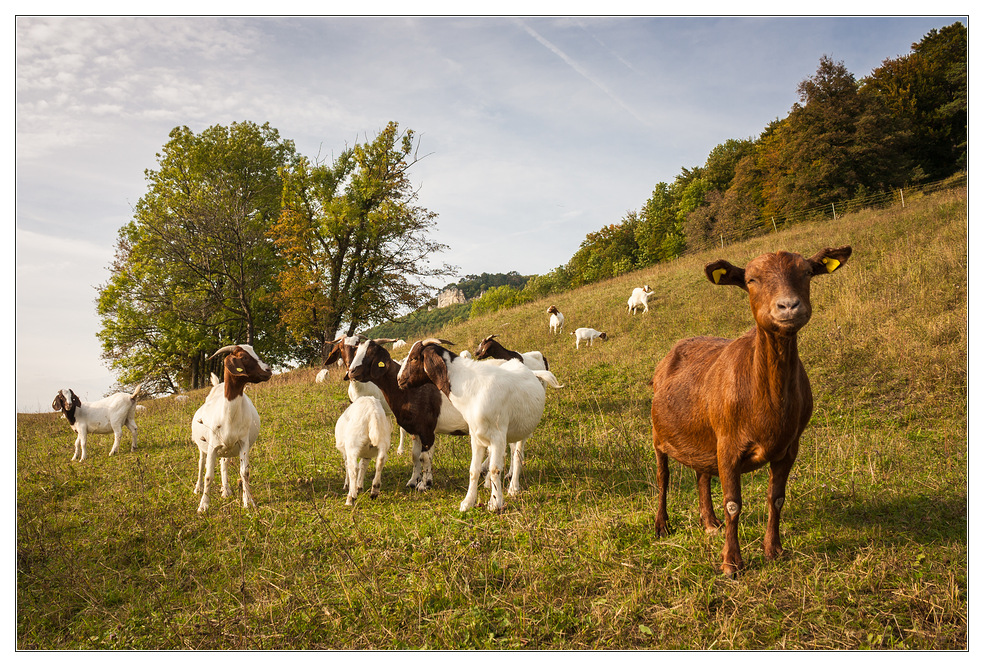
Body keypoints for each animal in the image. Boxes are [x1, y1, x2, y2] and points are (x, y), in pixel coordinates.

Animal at [192, 348, 272, 516]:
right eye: (243, 357)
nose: (268, 370)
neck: (228, 414)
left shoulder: (243, 443)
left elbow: (245, 473)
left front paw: (248, 502)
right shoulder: (212, 447)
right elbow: (208, 476)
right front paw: (203, 506)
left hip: (227, 448)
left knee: (224, 463)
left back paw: (226, 490)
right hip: (203, 446)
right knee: (201, 464)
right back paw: (198, 488)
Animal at [394, 340, 560, 512]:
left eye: (414, 358)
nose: (399, 380)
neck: (472, 388)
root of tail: (530, 371)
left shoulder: (497, 436)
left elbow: (495, 469)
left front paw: (495, 503)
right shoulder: (476, 436)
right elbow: (473, 470)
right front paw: (467, 502)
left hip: (522, 431)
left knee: (517, 456)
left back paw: (513, 488)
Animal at [648, 245, 848, 576]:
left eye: (807, 272)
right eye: (752, 280)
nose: (788, 306)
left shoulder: (789, 447)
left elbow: (777, 498)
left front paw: (774, 550)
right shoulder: (728, 445)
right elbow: (733, 504)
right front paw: (731, 563)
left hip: (702, 436)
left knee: (701, 475)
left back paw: (709, 522)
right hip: (658, 435)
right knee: (663, 477)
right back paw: (662, 525)